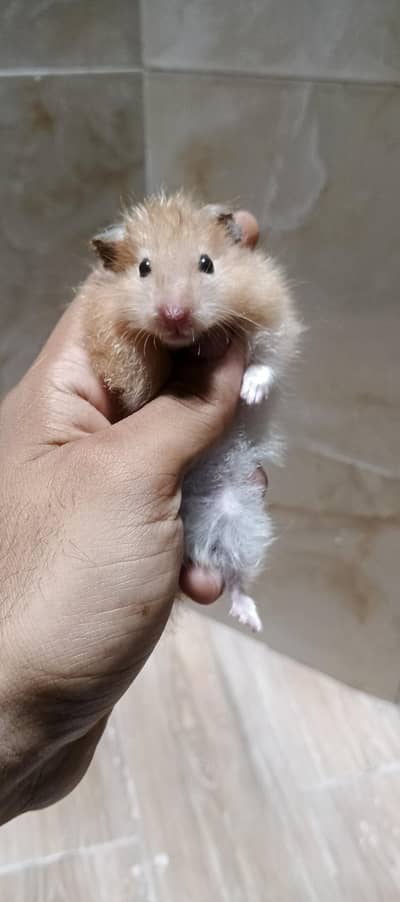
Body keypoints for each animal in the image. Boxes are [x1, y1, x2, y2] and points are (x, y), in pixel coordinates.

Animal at [80, 191, 301, 632]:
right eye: (144, 268)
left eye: (207, 263)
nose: (175, 316)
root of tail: (198, 535)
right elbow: (141, 381)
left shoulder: (273, 317)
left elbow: (265, 360)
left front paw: (249, 393)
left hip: (243, 523)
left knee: (236, 578)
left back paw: (251, 619)